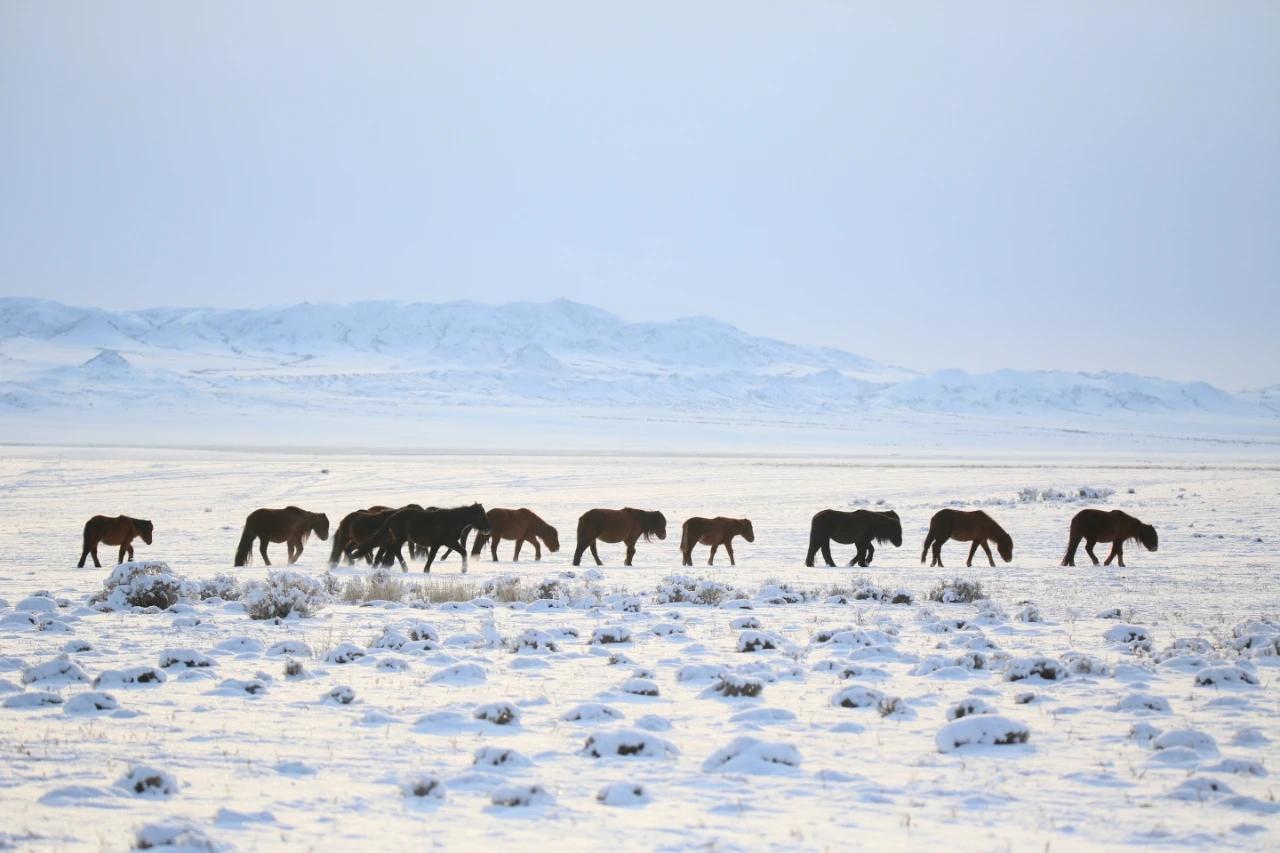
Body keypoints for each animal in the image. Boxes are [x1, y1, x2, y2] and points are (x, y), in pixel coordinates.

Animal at [348, 504, 491, 571]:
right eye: (480, 515)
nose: (488, 529)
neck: (451, 521)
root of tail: (393, 516)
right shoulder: (438, 543)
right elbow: (431, 557)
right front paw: (426, 570)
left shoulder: (449, 542)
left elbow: (463, 552)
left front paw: (464, 570)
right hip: (400, 538)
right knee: (394, 550)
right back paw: (401, 568)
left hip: (399, 539)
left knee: (392, 550)